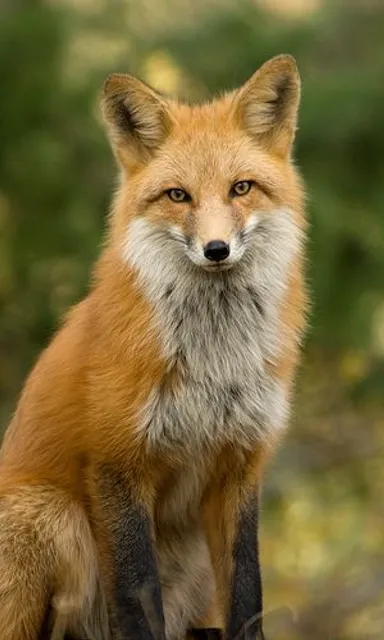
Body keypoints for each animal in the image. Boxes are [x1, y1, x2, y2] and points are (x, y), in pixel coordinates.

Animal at [0, 56, 306, 640]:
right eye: (178, 195)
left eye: (241, 188)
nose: (216, 249)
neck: (214, 366)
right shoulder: (117, 464)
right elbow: (138, 595)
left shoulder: (240, 464)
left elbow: (247, 590)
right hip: (51, 514)